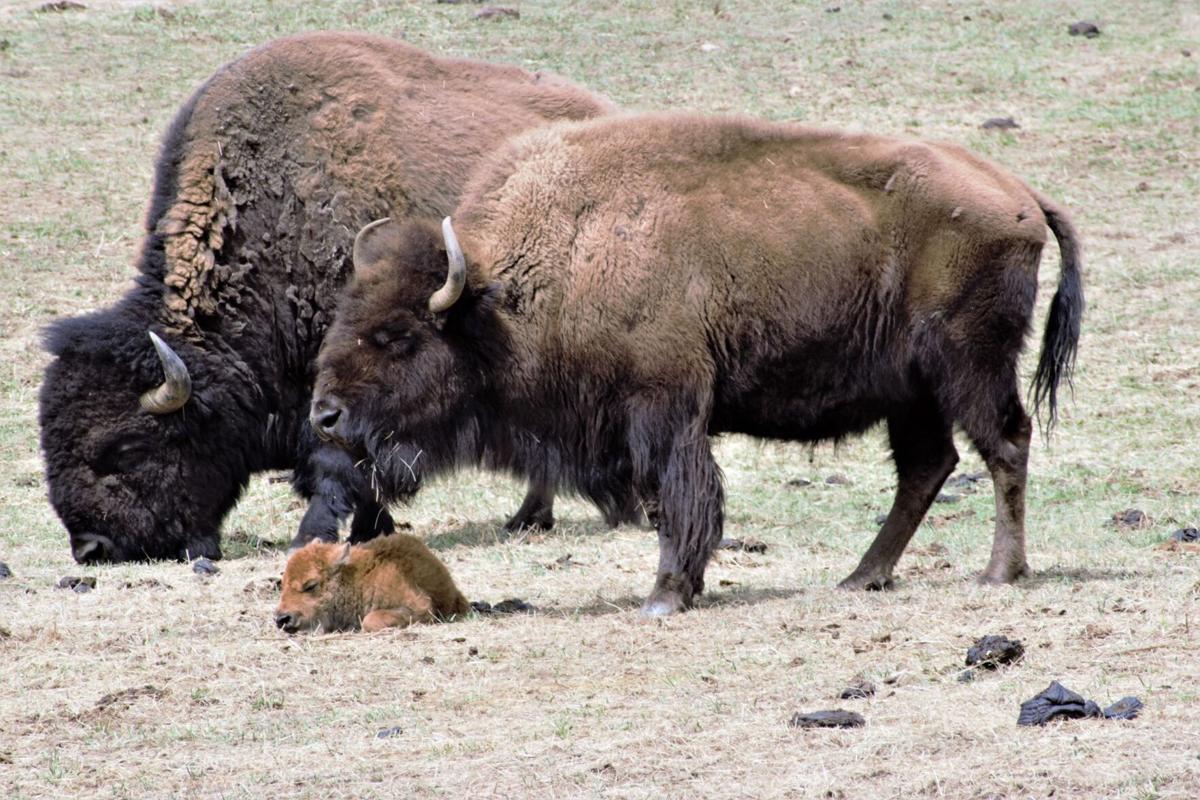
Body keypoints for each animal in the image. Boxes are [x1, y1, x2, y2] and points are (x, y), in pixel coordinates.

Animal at [39, 32, 628, 564]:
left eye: (126, 448)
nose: (92, 548)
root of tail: (604, 111)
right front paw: (372, 529)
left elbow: (337, 457)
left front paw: (313, 535)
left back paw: (531, 516)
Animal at [275, 535, 469, 633]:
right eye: (282, 584)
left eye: (311, 585)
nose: (282, 619)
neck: (356, 579)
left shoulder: (419, 607)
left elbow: (371, 620)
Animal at [311, 112, 1083, 616]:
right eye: (346, 316)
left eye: (400, 335)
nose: (325, 414)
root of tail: (1019, 197)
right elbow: (671, 499)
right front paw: (685, 586)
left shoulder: (664, 407)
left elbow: (680, 495)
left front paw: (665, 595)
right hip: (912, 392)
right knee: (928, 466)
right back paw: (862, 578)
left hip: (968, 365)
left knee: (1003, 444)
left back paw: (999, 573)